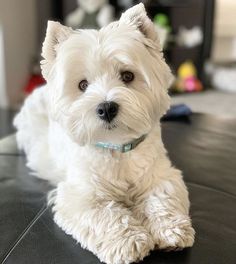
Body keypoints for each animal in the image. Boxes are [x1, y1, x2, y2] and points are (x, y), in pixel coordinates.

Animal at [13, 4, 195, 264]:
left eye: (128, 76)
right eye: (82, 85)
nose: (106, 108)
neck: (117, 148)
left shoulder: (160, 176)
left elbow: (162, 199)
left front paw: (171, 230)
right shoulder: (82, 195)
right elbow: (106, 216)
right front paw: (129, 241)